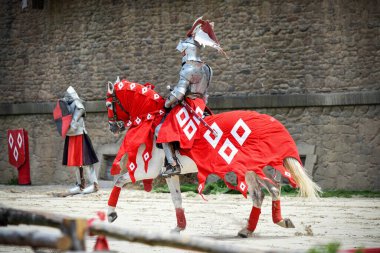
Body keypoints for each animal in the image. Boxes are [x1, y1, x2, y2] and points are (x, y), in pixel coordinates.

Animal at [104, 78, 320, 237]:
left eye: (108, 103)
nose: (113, 127)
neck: (151, 119)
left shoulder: (145, 170)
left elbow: (119, 180)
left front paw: (111, 214)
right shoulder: (170, 174)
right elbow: (177, 199)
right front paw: (179, 227)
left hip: (249, 169)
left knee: (261, 193)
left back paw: (251, 228)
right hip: (257, 168)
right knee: (272, 190)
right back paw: (265, 225)